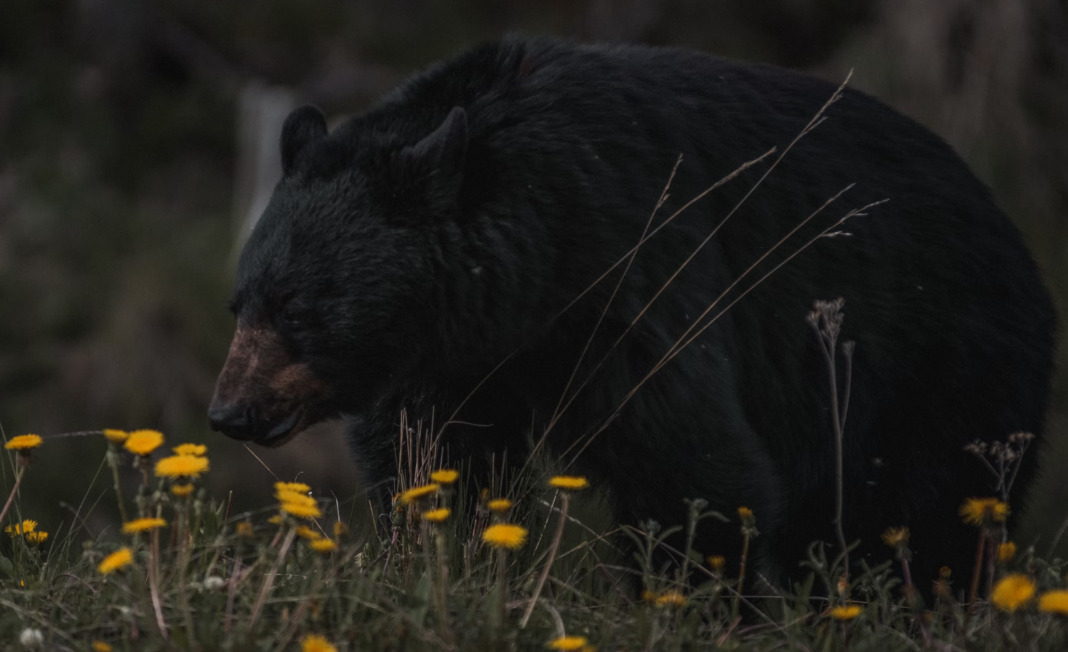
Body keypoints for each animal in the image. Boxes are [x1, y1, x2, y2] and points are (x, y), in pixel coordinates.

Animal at [208, 36, 1055, 591]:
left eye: (299, 308)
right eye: (241, 301)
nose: (231, 411)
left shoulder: (631, 277)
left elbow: (692, 462)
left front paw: (692, 600)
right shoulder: (451, 358)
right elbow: (434, 464)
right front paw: (445, 566)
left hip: (938, 368)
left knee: (925, 514)